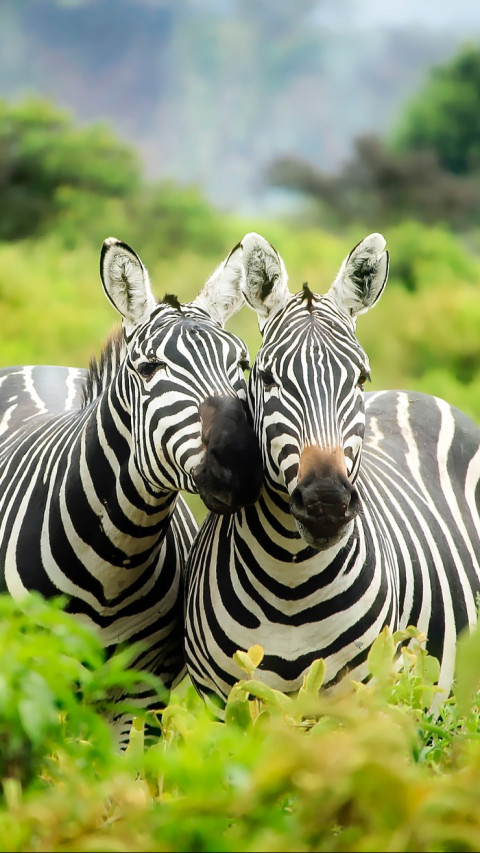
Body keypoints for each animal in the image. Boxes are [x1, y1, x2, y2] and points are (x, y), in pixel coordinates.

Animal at [0, 236, 263, 743]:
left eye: (242, 364)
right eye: (149, 367)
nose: (240, 466)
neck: (114, 560)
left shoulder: (141, 693)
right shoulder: (32, 680)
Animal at [184, 231, 480, 715]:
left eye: (360, 379)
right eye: (267, 378)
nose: (326, 502)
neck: (290, 581)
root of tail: (415, 394)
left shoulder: (361, 703)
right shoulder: (227, 704)